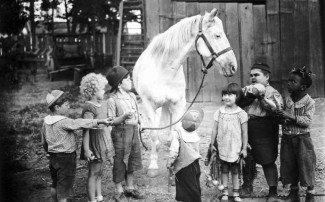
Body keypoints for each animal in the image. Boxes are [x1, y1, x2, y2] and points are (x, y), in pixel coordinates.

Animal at [133, 8, 237, 178]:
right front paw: (153, 167)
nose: (233, 66)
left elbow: (177, 130)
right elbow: (154, 134)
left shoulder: (177, 103)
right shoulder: (149, 105)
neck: (164, 70)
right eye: (217, 35)